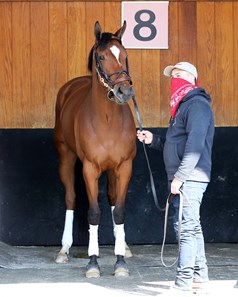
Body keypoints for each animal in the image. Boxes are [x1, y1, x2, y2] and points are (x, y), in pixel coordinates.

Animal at [53, 21, 137, 278]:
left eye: (125, 55)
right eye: (101, 56)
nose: (124, 92)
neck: (107, 120)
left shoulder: (124, 167)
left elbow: (119, 211)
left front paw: (120, 261)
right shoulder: (90, 169)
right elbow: (93, 213)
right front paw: (92, 262)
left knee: (111, 198)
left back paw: (124, 246)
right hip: (67, 159)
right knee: (70, 199)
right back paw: (64, 249)